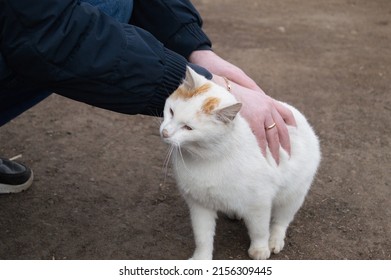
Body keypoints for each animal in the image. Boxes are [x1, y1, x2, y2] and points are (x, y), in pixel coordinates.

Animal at [160, 66, 322, 260]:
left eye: (188, 128)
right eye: (171, 112)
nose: (165, 133)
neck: (209, 156)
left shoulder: (259, 202)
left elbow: (259, 230)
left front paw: (260, 249)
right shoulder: (199, 205)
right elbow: (202, 237)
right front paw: (201, 258)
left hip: (292, 195)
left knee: (281, 221)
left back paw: (275, 240)